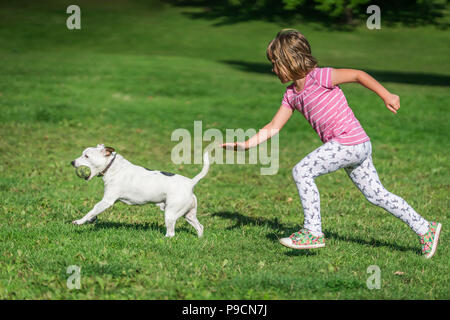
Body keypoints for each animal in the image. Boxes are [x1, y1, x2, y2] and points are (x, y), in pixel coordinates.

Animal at [71, 145, 209, 238]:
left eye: (86, 156)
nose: (72, 162)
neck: (113, 167)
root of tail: (190, 182)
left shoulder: (107, 201)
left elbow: (91, 210)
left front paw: (79, 221)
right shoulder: (108, 201)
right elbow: (94, 211)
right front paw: (91, 219)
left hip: (170, 213)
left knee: (171, 233)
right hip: (188, 215)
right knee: (200, 227)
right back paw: (200, 239)